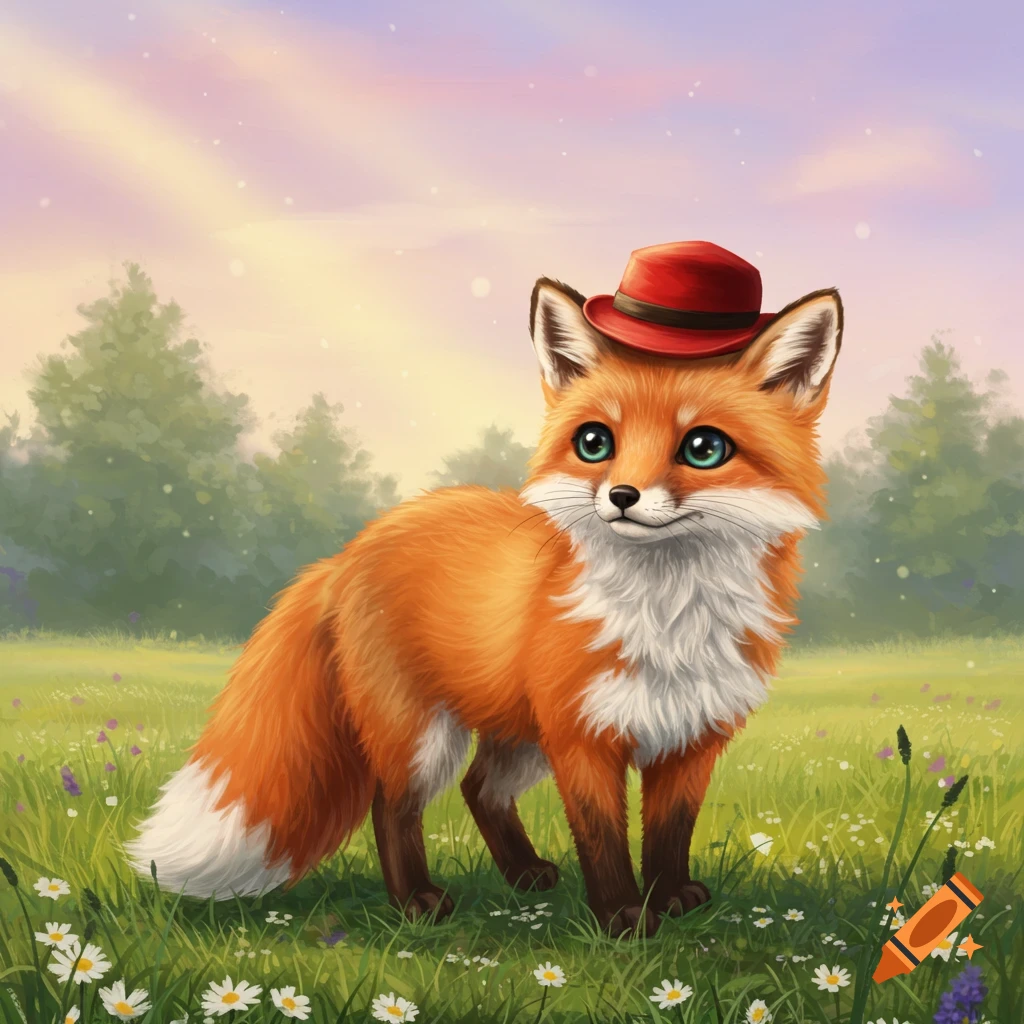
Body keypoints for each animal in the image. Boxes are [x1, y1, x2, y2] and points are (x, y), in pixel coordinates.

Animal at [126, 267, 843, 938]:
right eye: (595, 443)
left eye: (704, 447)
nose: (622, 497)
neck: (668, 618)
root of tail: (349, 550)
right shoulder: (582, 739)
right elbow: (604, 840)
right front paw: (621, 919)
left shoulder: (691, 738)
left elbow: (669, 835)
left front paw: (668, 900)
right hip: (426, 735)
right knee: (392, 806)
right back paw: (417, 901)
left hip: (519, 737)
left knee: (479, 789)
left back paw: (523, 874)